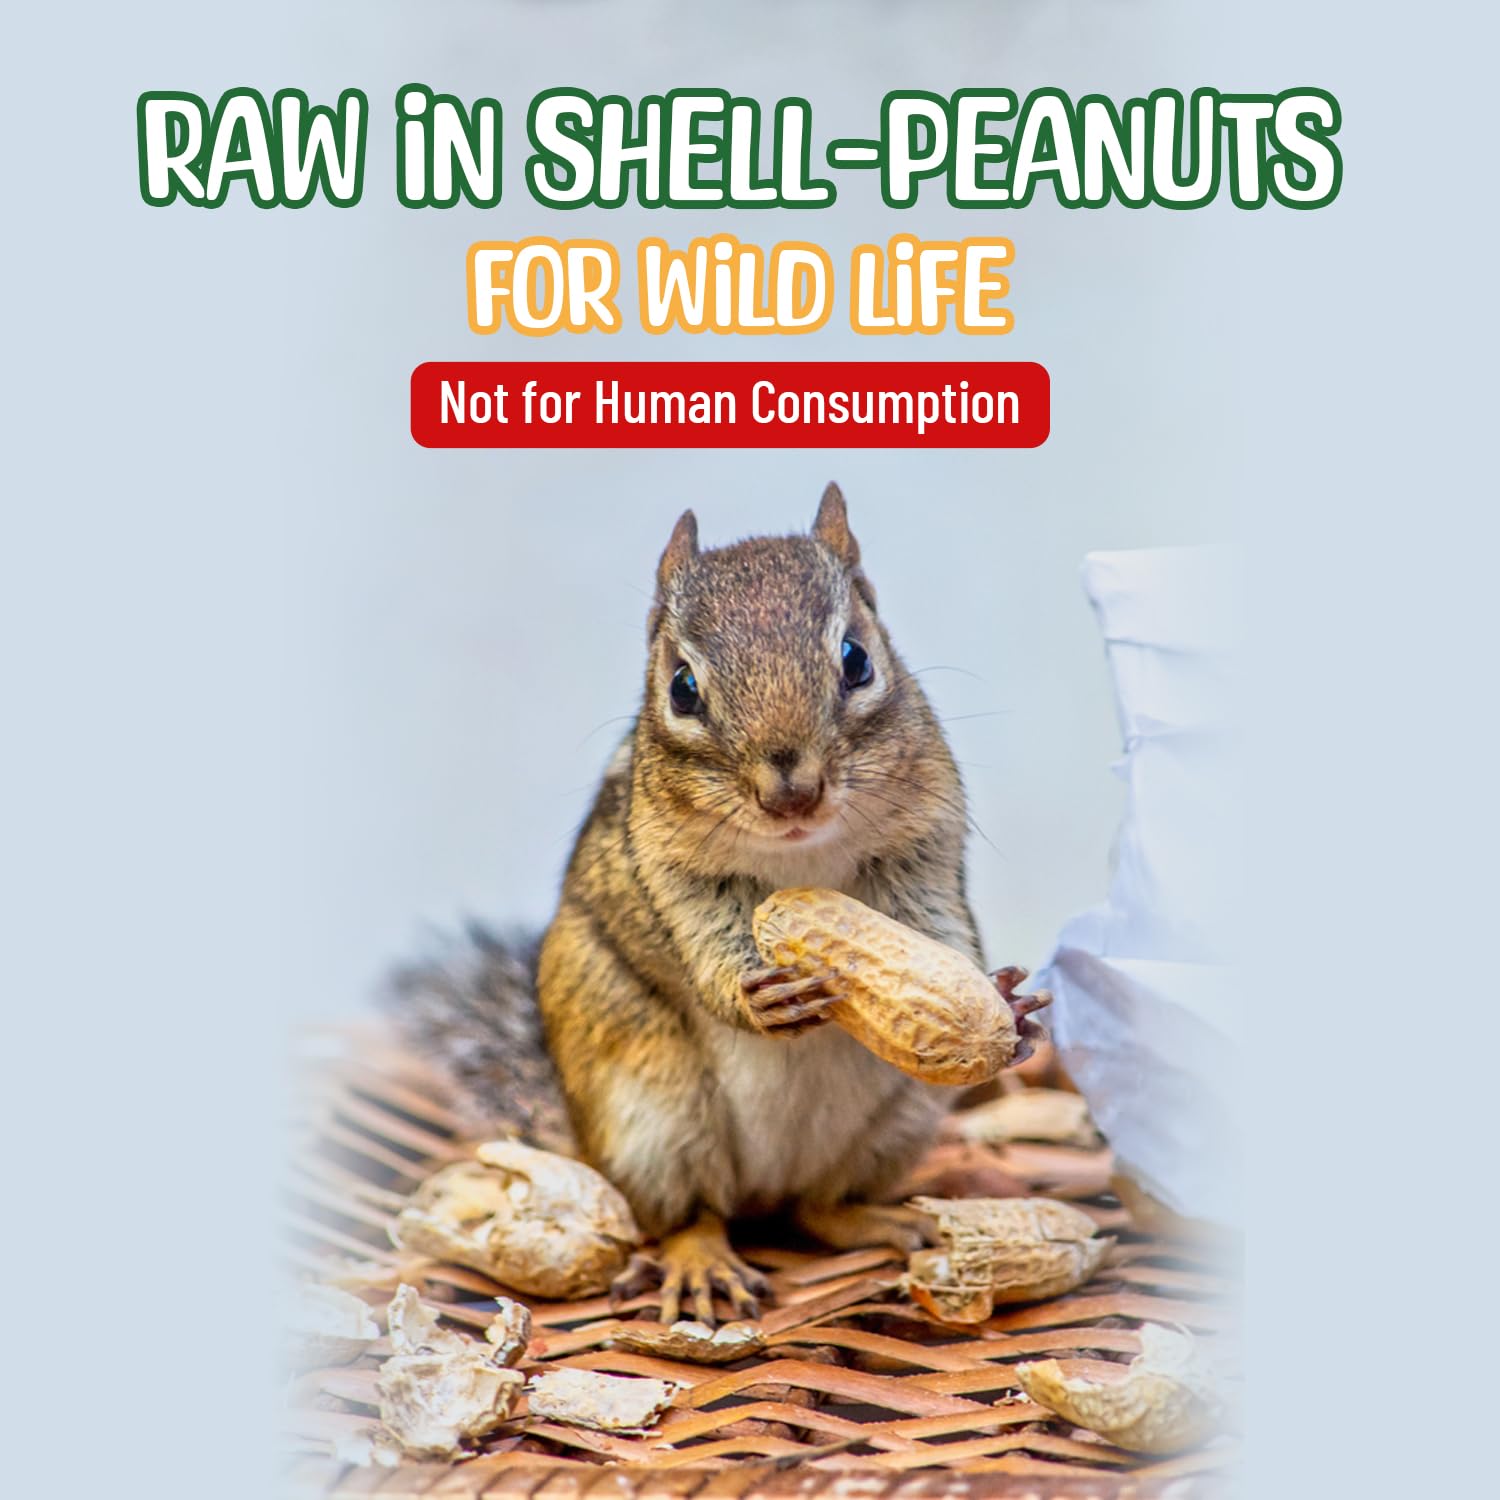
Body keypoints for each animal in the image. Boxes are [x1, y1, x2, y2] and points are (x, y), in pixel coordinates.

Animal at [388, 484, 1044, 1325]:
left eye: (857, 660)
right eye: (682, 687)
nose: (791, 791)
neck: (799, 853)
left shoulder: (923, 848)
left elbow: (941, 935)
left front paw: (1004, 1006)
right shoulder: (673, 873)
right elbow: (703, 947)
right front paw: (756, 997)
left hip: (898, 1117)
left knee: (815, 1208)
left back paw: (883, 1222)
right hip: (654, 1117)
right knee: (685, 1216)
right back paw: (702, 1264)